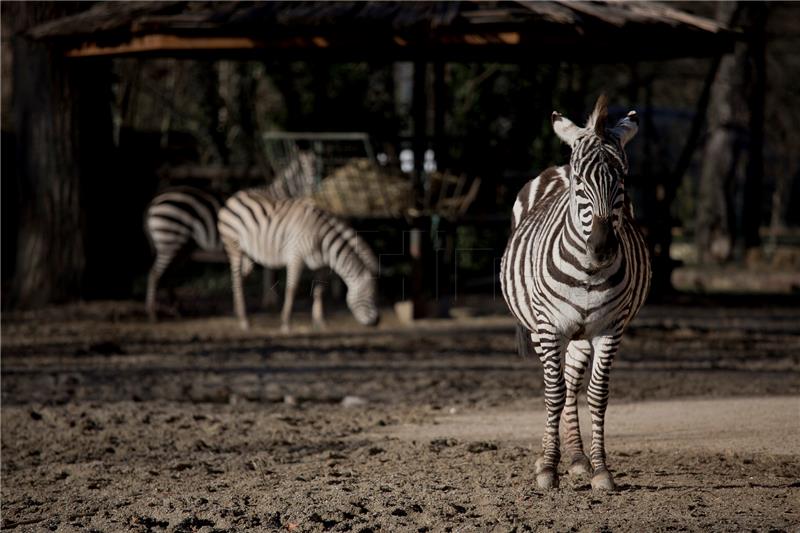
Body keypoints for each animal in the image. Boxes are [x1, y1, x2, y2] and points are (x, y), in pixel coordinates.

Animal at [145, 186, 253, 320]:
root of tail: (154, 200)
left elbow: (243, 274)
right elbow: (242, 275)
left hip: (181, 247)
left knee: (169, 274)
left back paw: (176, 310)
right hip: (169, 240)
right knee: (154, 274)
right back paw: (152, 313)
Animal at [217, 189, 380, 330]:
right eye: (370, 296)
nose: (378, 322)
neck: (321, 240)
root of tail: (235, 196)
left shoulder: (321, 265)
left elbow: (319, 290)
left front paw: (320, 322)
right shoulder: (296, 257)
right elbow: (292, 289)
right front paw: (286, 323)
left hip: (248, 254)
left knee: (241, 278)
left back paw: (238, 313)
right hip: (233, 246)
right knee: (237, 278)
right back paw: (244, 320)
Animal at [500, 95, 648, 490]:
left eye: (623, 179)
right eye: (581, 182)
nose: (602, 249)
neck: (588, 272)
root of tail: (557, 167)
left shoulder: (610, 329)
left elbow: (596, 396)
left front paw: (600, 469)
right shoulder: (549, 327)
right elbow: (552, 394)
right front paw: (548, 468)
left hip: (581, 334)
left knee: (571, 382)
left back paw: (578, 458)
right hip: (540, 328)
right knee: (557, 386)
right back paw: (547, 457)